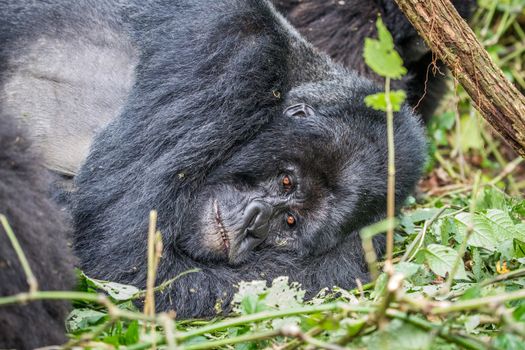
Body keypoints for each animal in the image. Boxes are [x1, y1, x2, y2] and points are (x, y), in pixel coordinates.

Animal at [0, 0, 442, 320]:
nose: (254, 221)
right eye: (287, 181)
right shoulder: (238, 51)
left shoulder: (363, 247)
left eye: (290, 222)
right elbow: (124, 257)